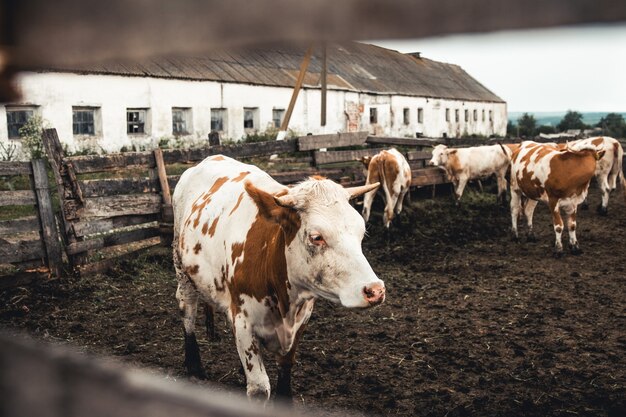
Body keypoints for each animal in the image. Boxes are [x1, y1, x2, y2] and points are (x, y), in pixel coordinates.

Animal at [173, 154, 382, 400]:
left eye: (361, 231)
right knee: (187, 310)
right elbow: (259, 388)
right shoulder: (243, 321)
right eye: (316, 237)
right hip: (182, 269)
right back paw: (194, 366)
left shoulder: (301, 319)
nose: (375, 290)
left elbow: (285, 368)